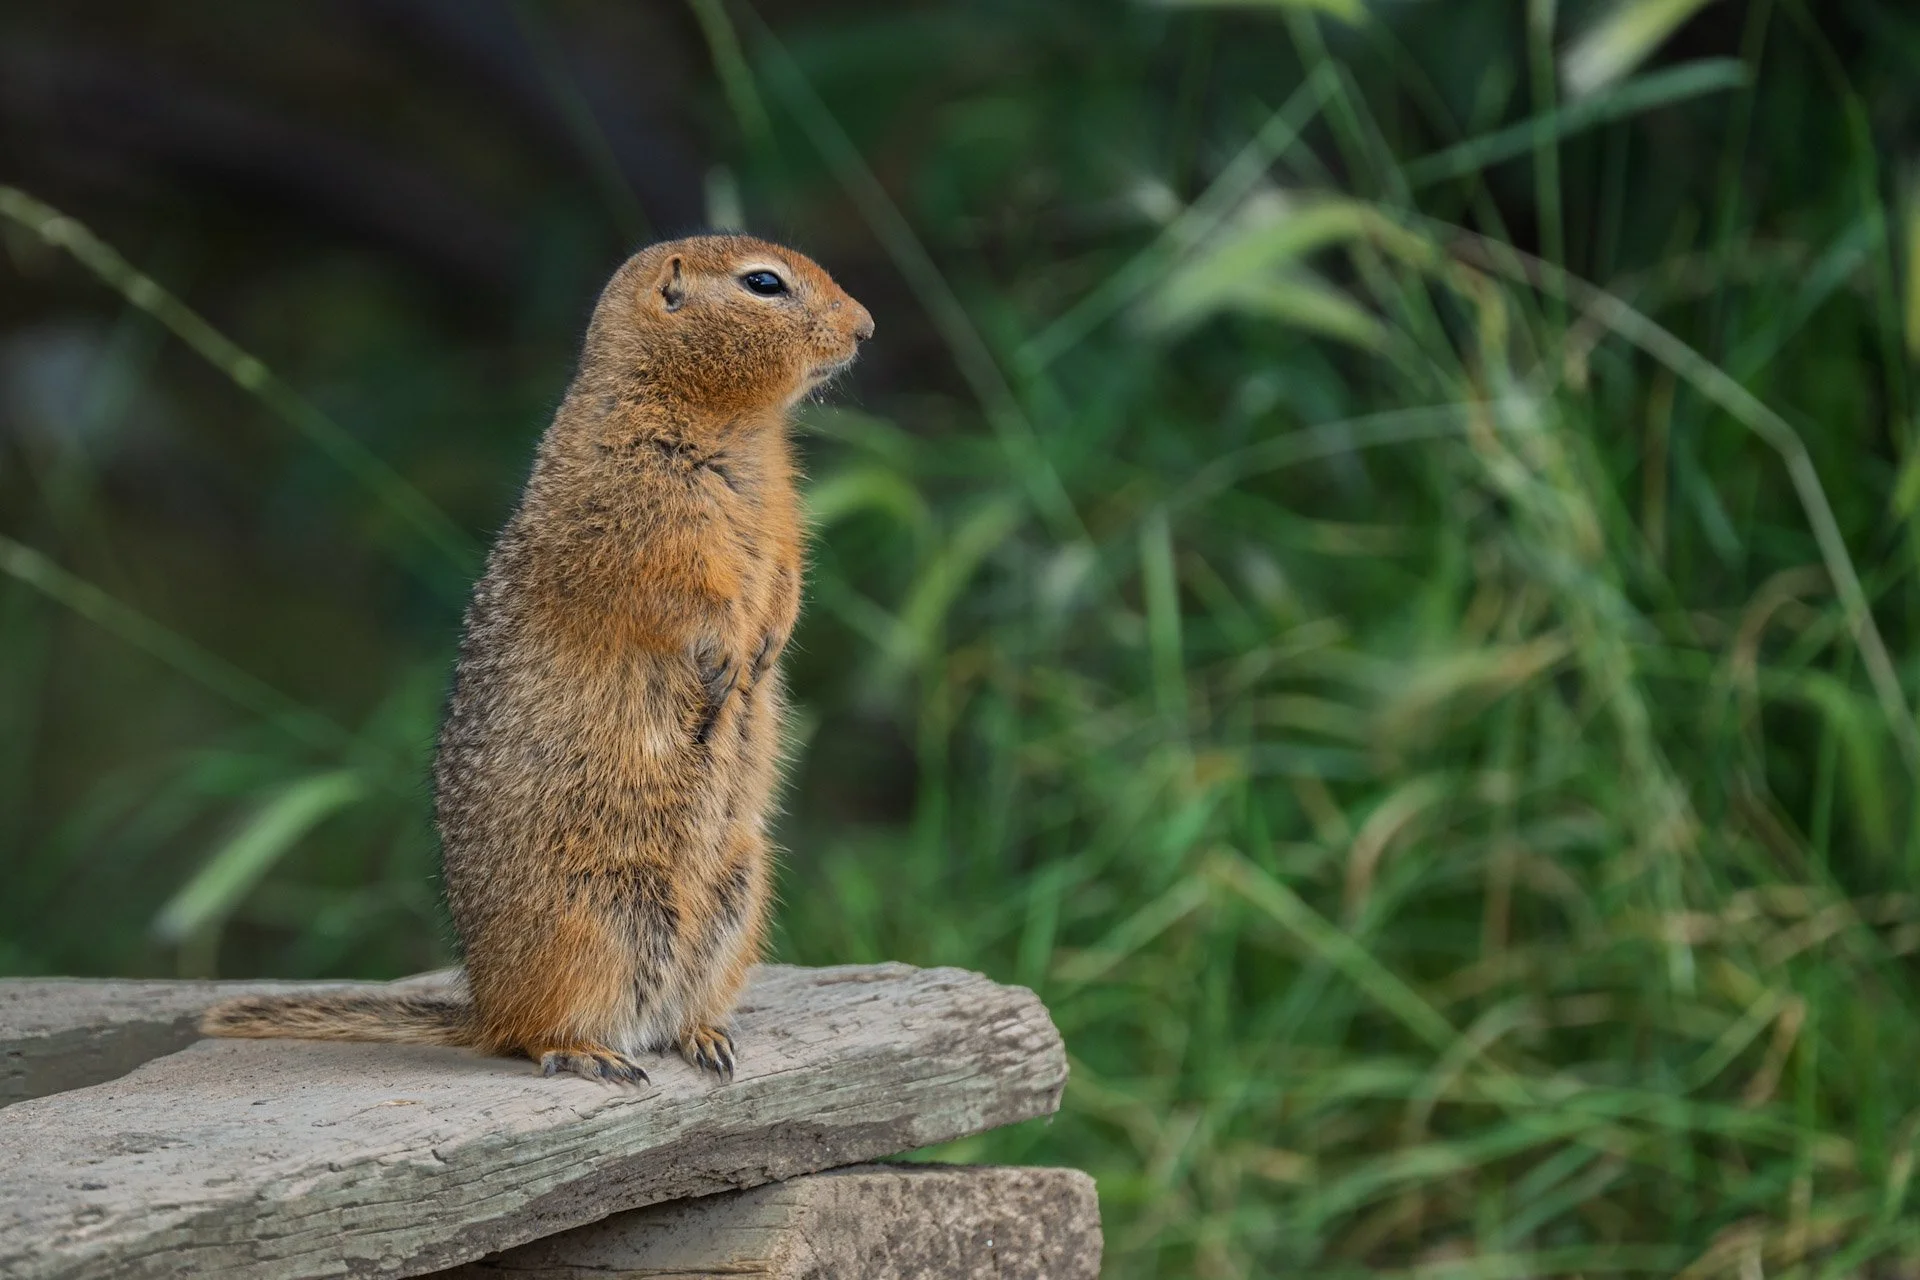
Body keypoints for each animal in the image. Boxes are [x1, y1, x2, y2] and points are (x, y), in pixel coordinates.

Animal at [199, 234, 873, 1084]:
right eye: (763, 283)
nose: (867, 327)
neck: (736, 427)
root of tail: (482, 1005)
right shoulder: (636, 513)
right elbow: (685, 592)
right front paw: (726, 656)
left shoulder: (783, 518)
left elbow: (786, 576)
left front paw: (766, 649)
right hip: (588, 919)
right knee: (531, 1034)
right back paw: (587, 1052)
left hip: (737, 895)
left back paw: (705, 1036)